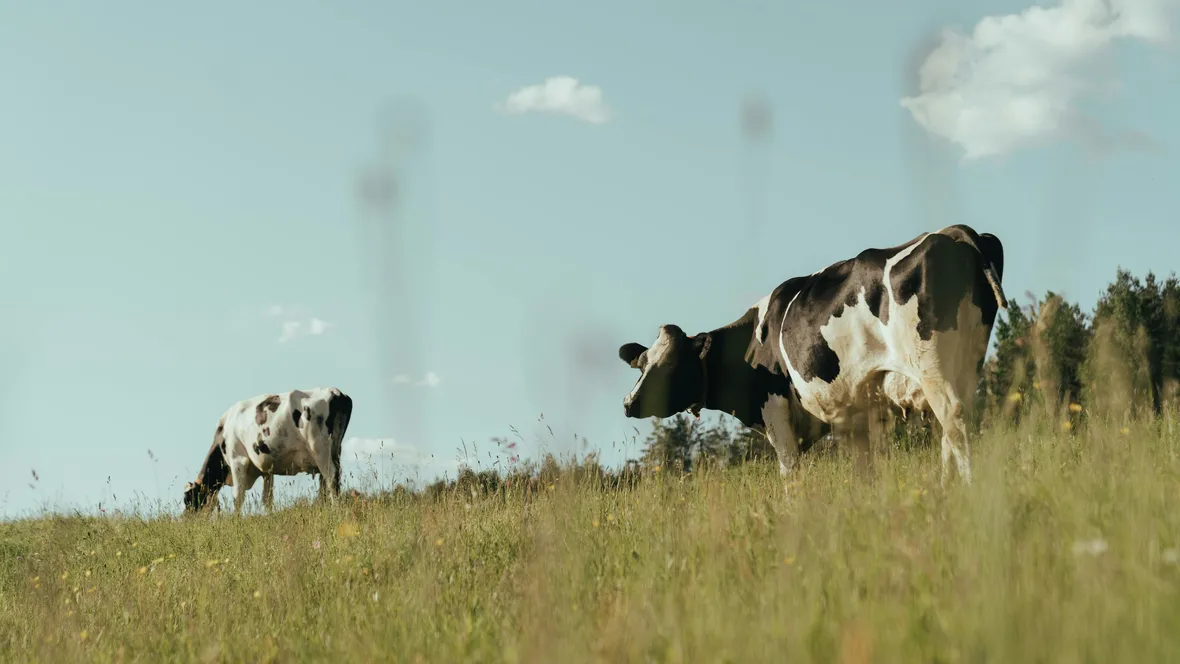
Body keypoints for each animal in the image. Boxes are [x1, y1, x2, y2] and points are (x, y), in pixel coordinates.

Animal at [183, 387, 354, 513]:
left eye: (188, 500)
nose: (186, 519)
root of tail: (336, 392)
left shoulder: (238, 460)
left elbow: (238, 496)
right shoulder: (267, 470)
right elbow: (267, 499)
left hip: (319, 449)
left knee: (331, 478)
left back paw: (335, 509)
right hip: (335, 451)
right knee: (330, 480)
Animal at [618, 224, 1006, 497]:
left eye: (669, 365)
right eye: (641, 364)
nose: (628, 403)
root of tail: (956, 232)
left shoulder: (774, 408)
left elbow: (790, 472)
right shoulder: (855, 413)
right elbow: (864, 469)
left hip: (932, 365)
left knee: (954, 419)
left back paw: (967, 488)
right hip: (966, 360)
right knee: (952, 425)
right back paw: (946, 487)